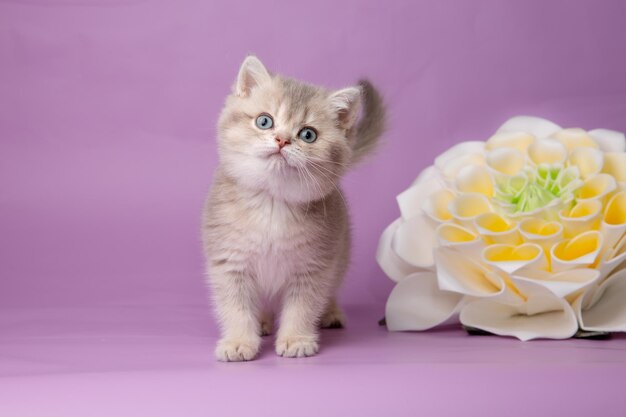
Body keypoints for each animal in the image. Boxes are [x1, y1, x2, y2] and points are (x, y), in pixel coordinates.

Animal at [202, 56, 382, 360]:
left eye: (308, 135)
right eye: (264, 121)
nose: (282, 140)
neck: (273, 204)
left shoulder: (315, 265)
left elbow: (303, 306)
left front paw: (296, 339)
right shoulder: (229, 262)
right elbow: (235, 306)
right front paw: (239, 341)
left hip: (341, 253)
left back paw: (330, 312)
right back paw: (262, 321)